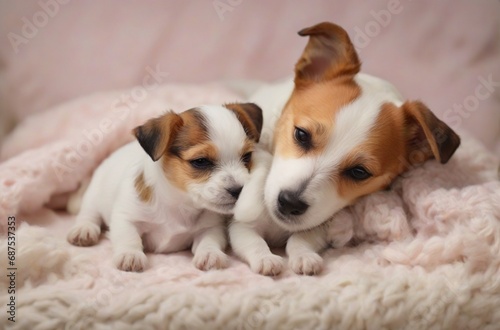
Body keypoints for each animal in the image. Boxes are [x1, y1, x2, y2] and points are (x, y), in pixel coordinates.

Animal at [68, 104, 264, 274]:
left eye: (247, 156)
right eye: (200, 161)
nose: (239, 190)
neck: (180, 204)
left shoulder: (211, 226)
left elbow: (209, 240)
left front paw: (210, 254)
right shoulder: (125, 217)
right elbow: (128, 236)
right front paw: (130, 254)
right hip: (93, 196)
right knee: (89, 214)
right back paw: (84, 230)